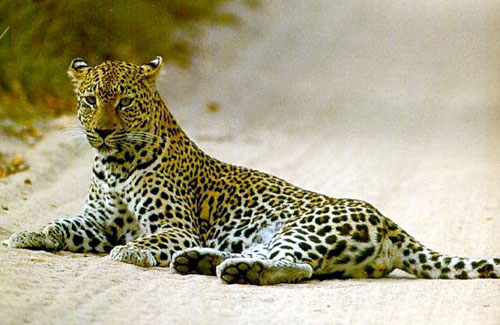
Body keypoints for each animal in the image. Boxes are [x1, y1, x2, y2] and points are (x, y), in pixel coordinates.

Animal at [2, 56, 496, 284]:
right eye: (90, 100)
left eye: (124, 103)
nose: (102, 131)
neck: (113, 163)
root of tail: (389, 221)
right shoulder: (97, 222)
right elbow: (64, 224)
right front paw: (28, 233)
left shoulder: (176, 226)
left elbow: (149, 238)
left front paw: (131, 251)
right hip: (281, 238)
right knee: (289, 263)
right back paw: (204, 263)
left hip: (305, 227)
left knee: (297, 266)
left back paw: (233, 270)